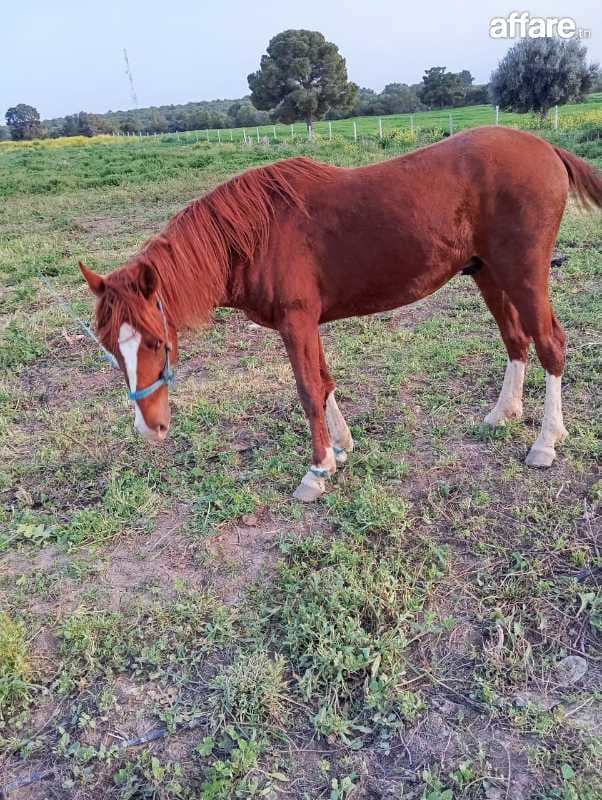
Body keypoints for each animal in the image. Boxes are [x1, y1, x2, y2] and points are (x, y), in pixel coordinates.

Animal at [80, 126, 602, 501]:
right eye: (111, 350)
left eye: (157, 342)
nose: (149, 429)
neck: (255, 236)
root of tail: (544, 147)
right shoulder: (307, 324)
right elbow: (325, 381)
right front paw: (341, 449)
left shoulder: (295, 323)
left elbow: (309, 391)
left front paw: (316, 472)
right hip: (488, 274)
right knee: (516, 340)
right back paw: (503, 413)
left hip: (524, 273)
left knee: (550, 343)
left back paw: (546, 442)